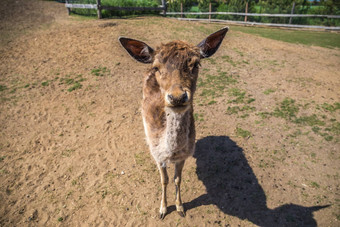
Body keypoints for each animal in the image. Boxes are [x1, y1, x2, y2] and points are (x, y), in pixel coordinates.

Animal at [119, 27, 228, 219]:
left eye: (196, 64)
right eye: (157, 67)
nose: (177, 97)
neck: (170, 153)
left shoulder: (184, 156)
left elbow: (177, 179)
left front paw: (180, 207)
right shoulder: (157, 155)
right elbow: (164, 180)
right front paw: (162, 209)